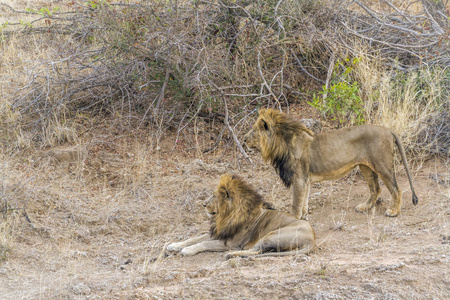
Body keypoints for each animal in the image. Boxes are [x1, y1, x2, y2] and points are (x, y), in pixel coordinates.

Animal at [166, 173, 316, 258]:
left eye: (214, 196)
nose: (203, 204)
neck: (226, 216)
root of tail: (312, 239)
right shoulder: (221, 232)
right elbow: (195, 238)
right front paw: (173, 245)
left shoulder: (231, 242)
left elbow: (204, 243)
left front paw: (187, 250)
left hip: (271, 235)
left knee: (256, 251)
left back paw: (231, 254)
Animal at [243, 108, 418, 220]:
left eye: (254, 131)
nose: (244, 139)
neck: (282, 144)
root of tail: (388, 130)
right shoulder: (305, 180)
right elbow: (304, 200)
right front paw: (304, 217)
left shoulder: (299, 178)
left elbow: (296, 204)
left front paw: (294, 220)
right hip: (365, 167)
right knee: (376, 189)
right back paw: (364, 207)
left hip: (382, 165)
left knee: (396, 189)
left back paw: (394, 211)